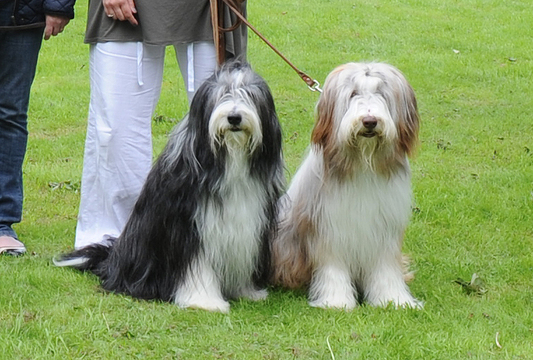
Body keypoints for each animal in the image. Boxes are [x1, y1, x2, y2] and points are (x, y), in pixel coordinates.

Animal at [56, 61, 284, 312]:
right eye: (221, 95)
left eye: (249, 95)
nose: (234, 117)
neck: (228, 161)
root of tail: (112, 259)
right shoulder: (189, 227)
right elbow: (198, 265)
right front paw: (205, 301)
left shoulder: (249, 223)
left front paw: (246, 291)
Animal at [272, 62, 422, 310]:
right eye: (353, 94)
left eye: (381, 94)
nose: (369, 121)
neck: (363, 162)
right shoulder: (328, 227)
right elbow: (333, 268)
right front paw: (336, 301)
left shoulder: (385, 229)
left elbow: (386, 268)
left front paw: (393, 299)